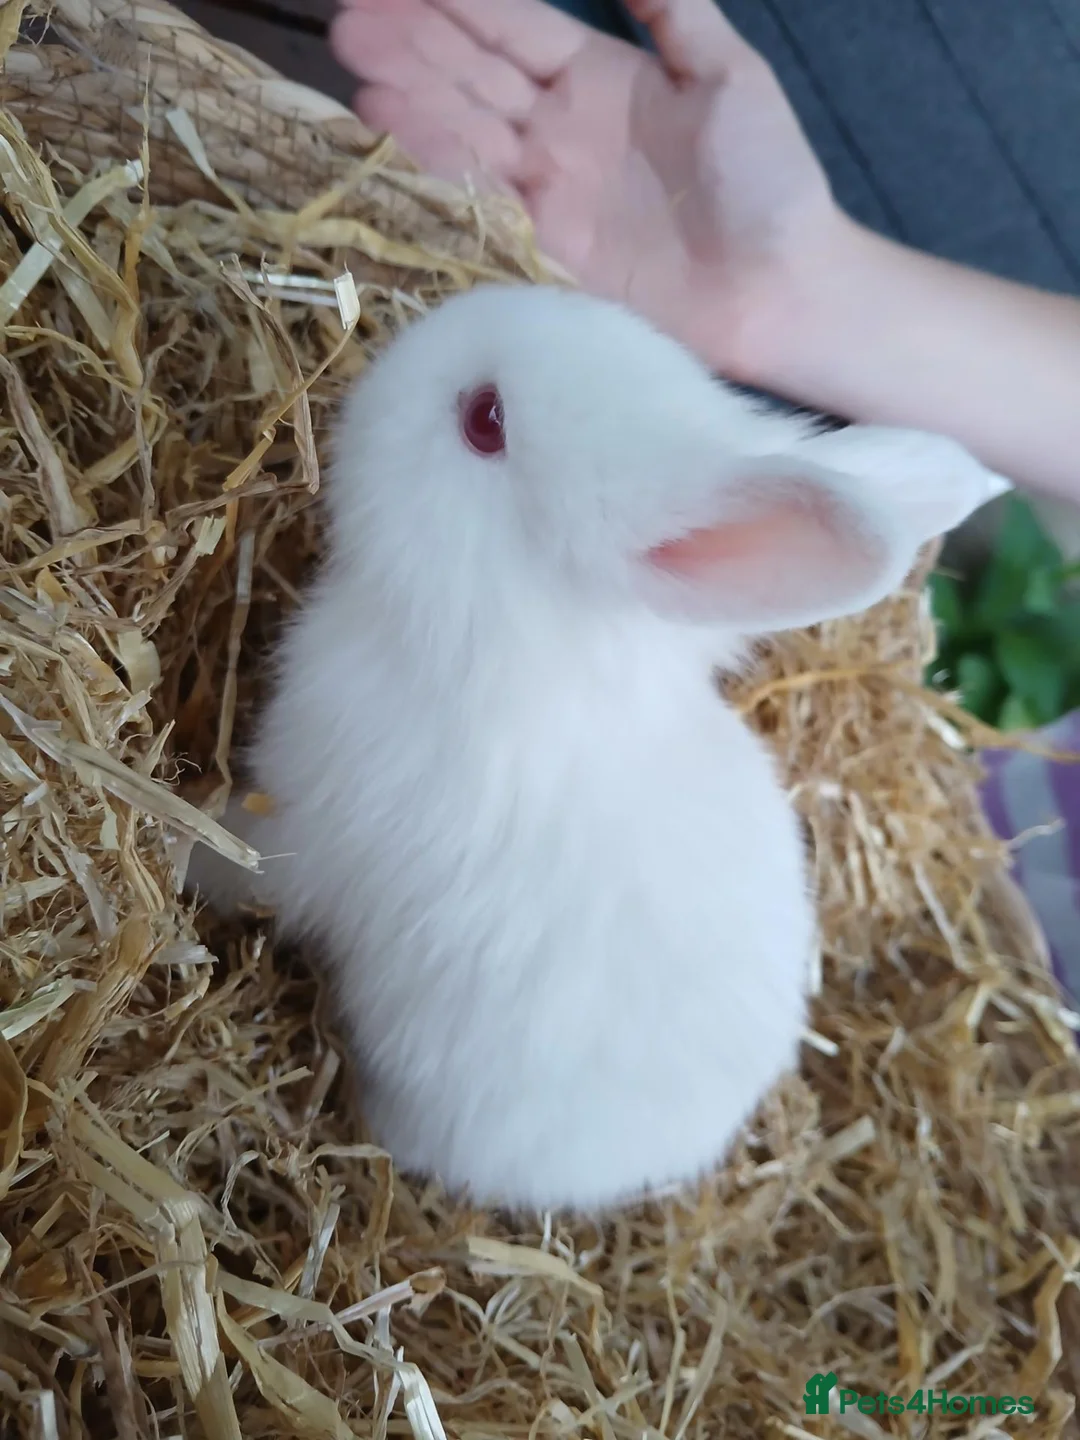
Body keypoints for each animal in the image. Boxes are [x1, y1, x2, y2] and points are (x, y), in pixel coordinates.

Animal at [187, 282, 1009, 1214]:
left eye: (486, 419)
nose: (403, 348)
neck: (499, 651)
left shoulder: (305, 830)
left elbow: (243, 862)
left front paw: (183, 851)